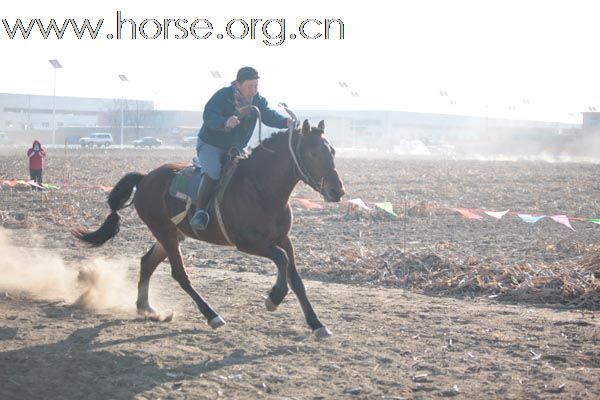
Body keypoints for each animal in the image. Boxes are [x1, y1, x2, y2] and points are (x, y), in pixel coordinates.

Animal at [74, 119, 346, 338]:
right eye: (313, 153)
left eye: (332, 151)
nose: (337, 191)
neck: (260, 188)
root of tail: (145, 178)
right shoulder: (249, 243)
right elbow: (280, 260)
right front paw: (274, 298)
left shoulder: (283, 239)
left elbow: (296, 278)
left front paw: (317, 324)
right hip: (165, 233)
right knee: (180, 274)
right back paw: (211, 315)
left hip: (172, 234)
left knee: (147, 262)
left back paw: (146, 308)